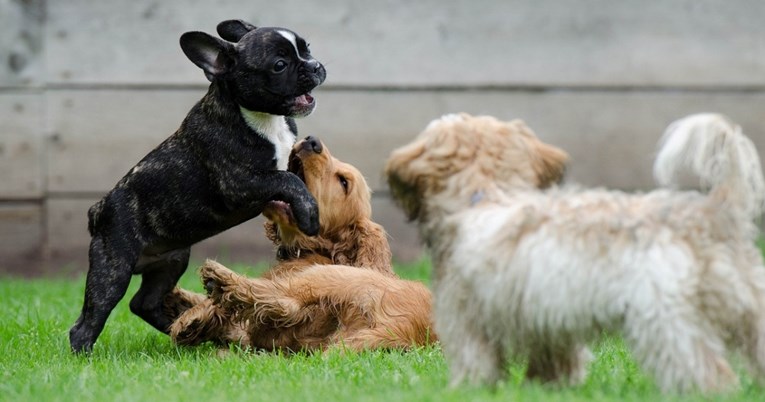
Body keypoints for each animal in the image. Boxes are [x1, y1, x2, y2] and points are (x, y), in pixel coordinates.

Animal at [68, 19, 326, 352]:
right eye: (279, 65)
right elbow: (287, 179)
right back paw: (86, 355)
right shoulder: (240, 183)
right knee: (89, 320)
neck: (263, 118)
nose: (315, 65)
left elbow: (295, 175)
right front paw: (309, 215)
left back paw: (184, 330)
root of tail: (99, 209)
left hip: (172, 261)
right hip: (113, 269)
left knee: (144, 303)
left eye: (306, 49)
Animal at [384, 112, 764, 392]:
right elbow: (555, 363)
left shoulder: (467, 320)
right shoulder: (548, 323)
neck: (487, 194)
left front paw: (469, 391)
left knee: (708, 373)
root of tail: (714, 212)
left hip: (667, 322)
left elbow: (476, 363)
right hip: (751, 311)